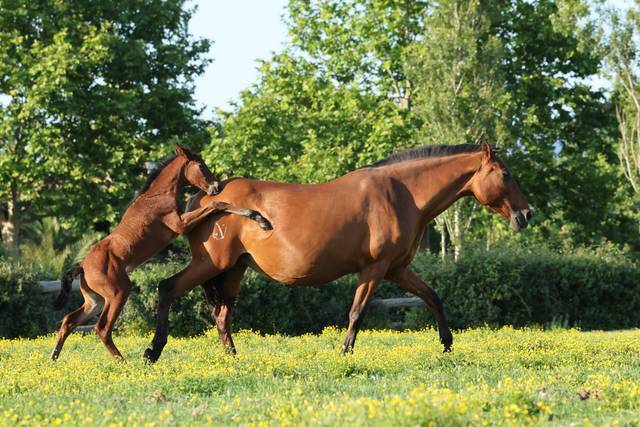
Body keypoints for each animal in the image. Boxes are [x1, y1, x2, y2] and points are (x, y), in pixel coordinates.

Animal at [51, 145, 272, 360]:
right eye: (201, 165)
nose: (216, 187)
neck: (158, 195)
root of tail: (82, 267)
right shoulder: (181, 224)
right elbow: (217, 204)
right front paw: (259, 218)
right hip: (118, 292)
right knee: (102, 327)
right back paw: (123, 362)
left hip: (94, 300)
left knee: (69, 320)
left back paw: (53, 358)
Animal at [143, 142, 531, 363]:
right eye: (506, 174)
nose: (526, 214)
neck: (401, 194)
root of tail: (206, 197)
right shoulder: (375, 269)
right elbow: (357, 313)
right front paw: (345, 353)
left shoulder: (397, 269)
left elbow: (433, 297)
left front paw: (447, 345)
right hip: (210, 264)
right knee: (168, 289)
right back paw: (153, 350)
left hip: (234, 270)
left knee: (223, 316)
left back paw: (233, 359)